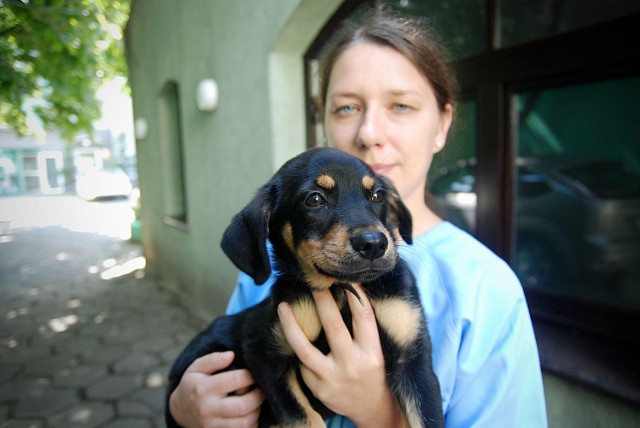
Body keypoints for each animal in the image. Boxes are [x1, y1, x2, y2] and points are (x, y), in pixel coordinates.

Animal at [168, 148, 442, 428]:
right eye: (314, 199)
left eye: (377, 196)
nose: (374, 244)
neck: (339, 290)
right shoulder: (262, 351)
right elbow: (302, 416)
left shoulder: (413, 360)